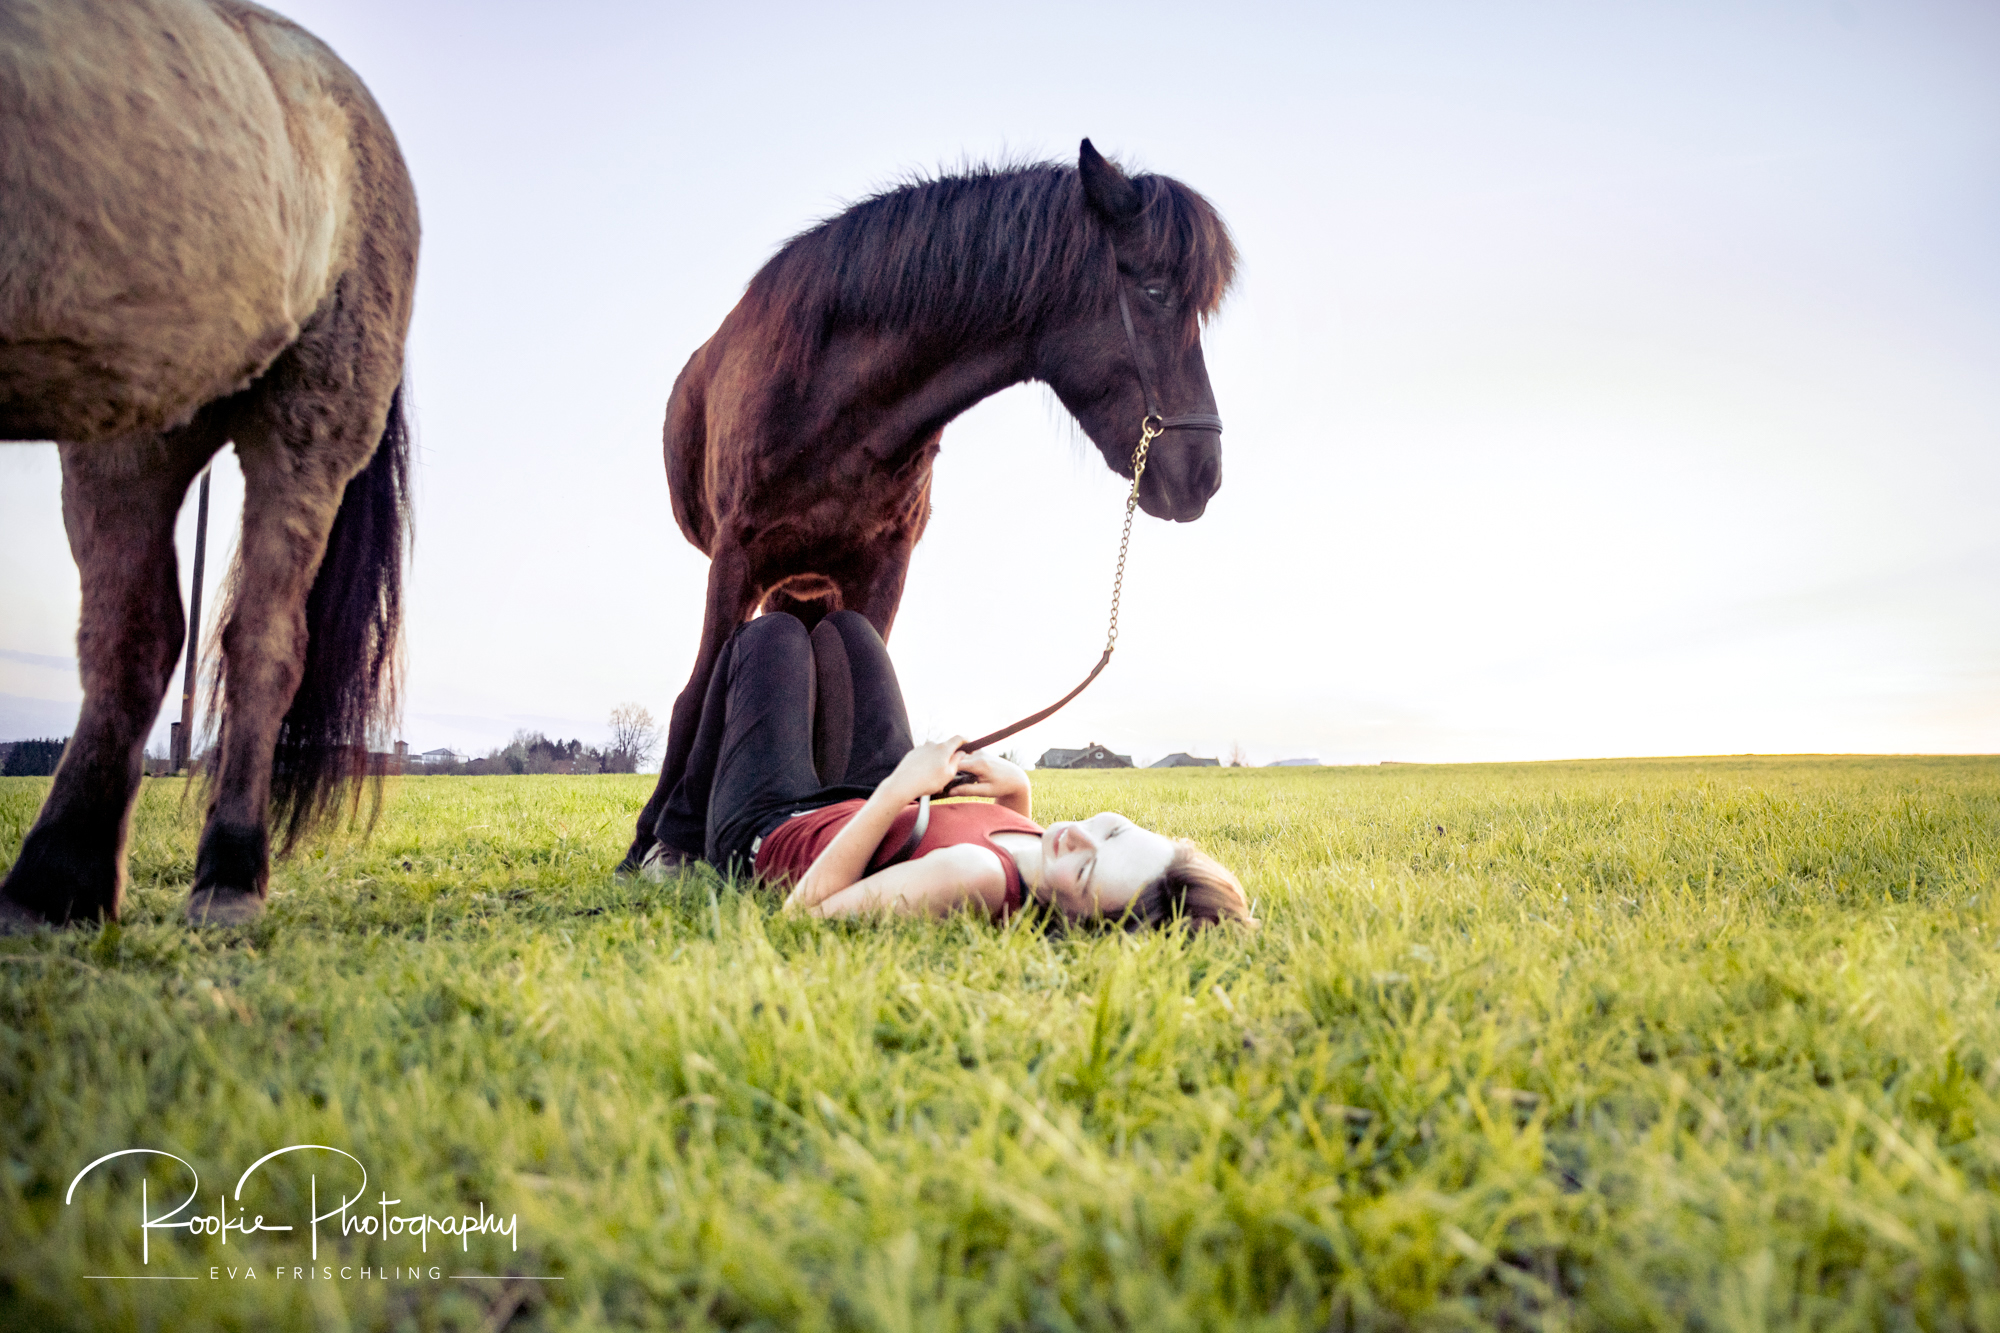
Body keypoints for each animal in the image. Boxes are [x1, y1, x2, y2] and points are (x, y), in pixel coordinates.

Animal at [1, 0, 417, 928]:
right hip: (134, 417)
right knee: (137, 632)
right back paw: (54, 882)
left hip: (308, 420)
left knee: (264, 639)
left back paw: (227, 871)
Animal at [624, 140, 1238, 874]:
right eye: (1153, 291)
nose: (1205, 476)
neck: (830, 395)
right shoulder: (735, 558)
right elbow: (694, 693)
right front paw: (658, 839)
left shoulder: (881, 571)